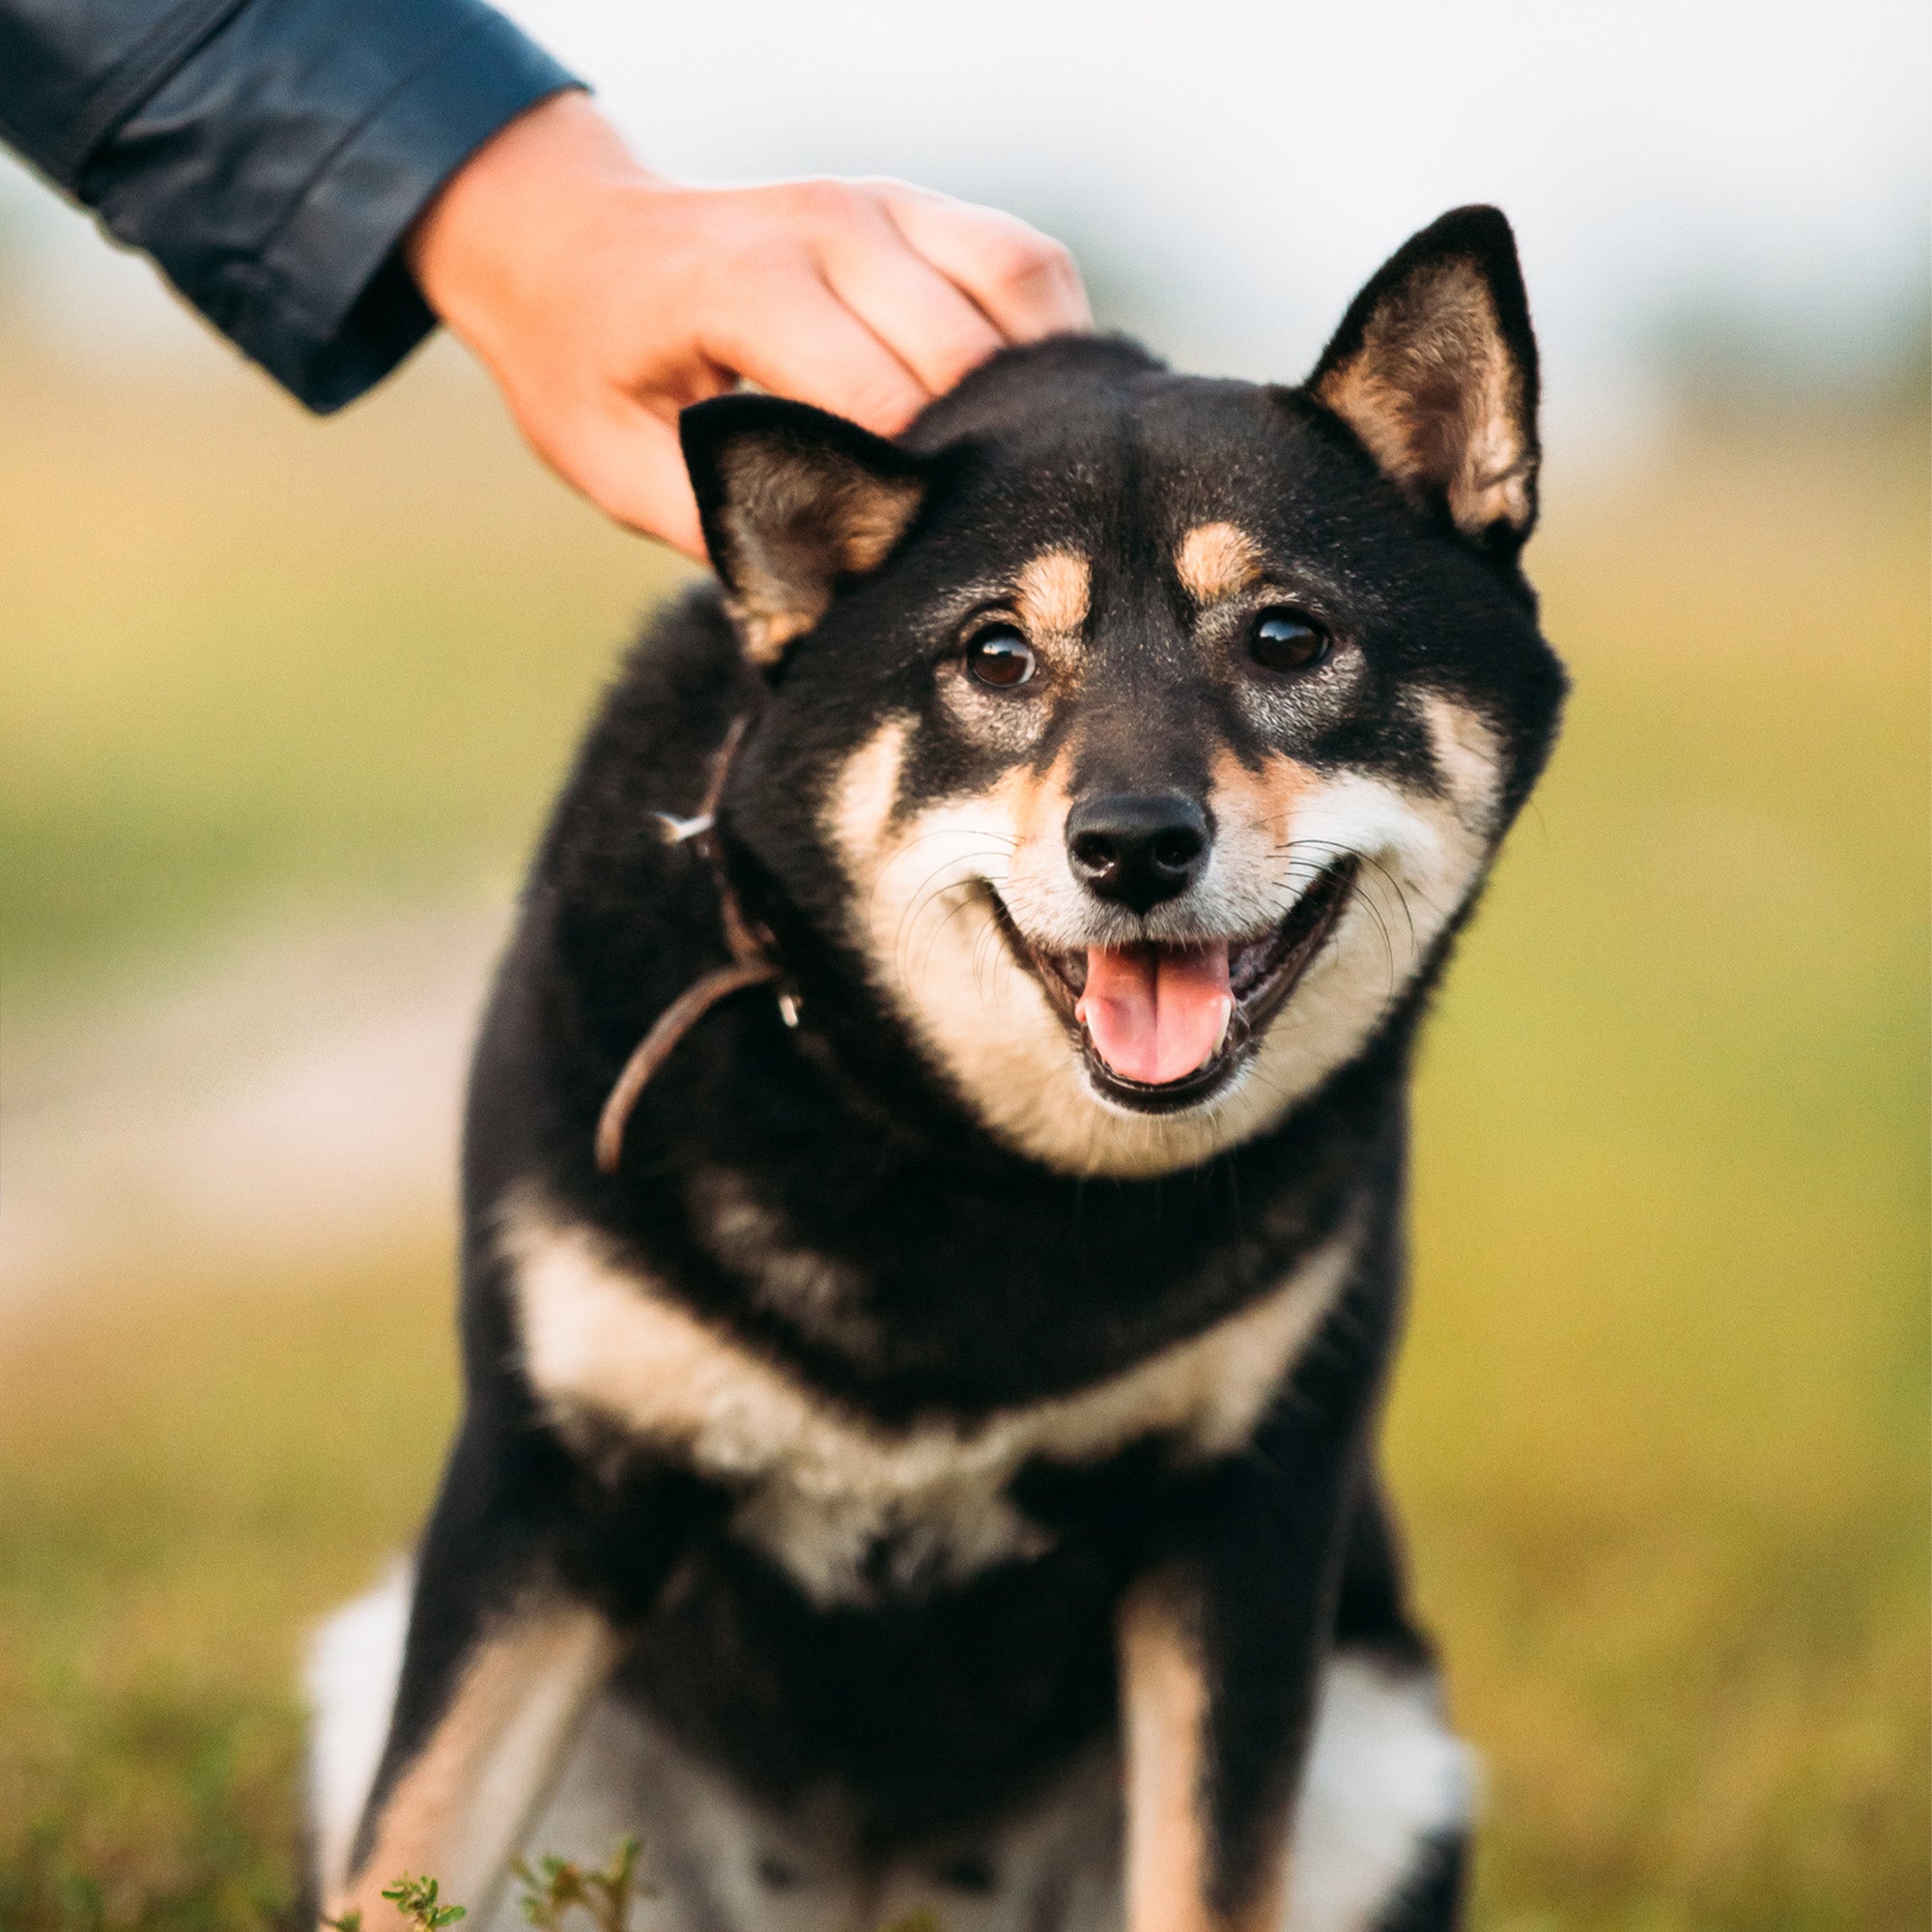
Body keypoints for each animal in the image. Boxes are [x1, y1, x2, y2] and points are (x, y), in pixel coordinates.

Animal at [305, 212, 1569, 1932]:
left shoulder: (1242, 1543)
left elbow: (1208, 1873)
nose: (1133, 845)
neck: (956, 1155)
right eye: (996, 654)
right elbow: (403, 1847)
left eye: (1288, 635)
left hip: (1383, 1762)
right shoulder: (548, 1497)